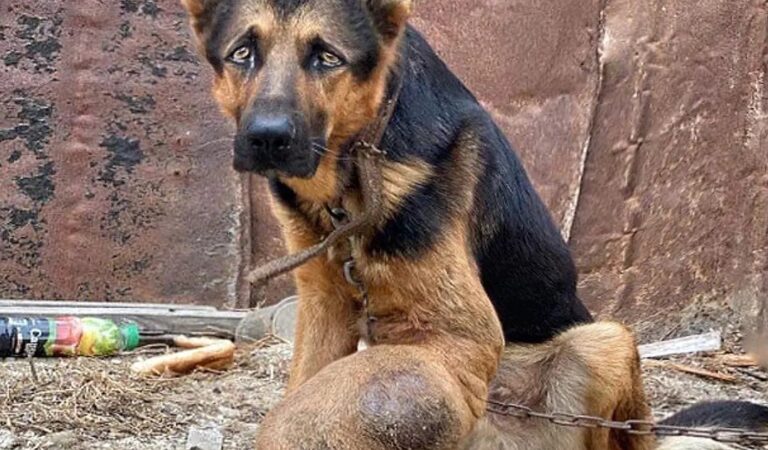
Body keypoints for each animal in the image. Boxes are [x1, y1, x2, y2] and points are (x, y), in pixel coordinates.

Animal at [182, 0, 768, 448]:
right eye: (242, 54)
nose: (267, 138)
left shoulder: (458, 339)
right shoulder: (325, 303)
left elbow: (317, 407)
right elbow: (309, 387)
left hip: (604, 342)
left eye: (327, 57)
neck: (350, 181)